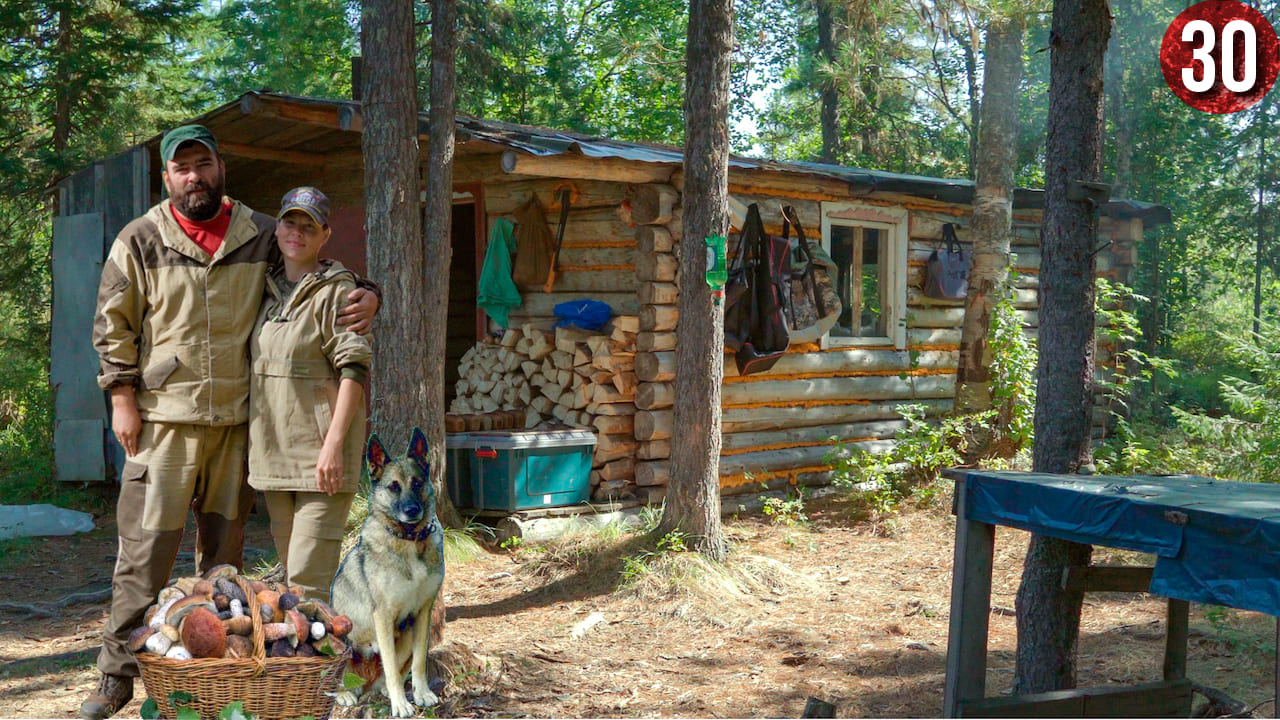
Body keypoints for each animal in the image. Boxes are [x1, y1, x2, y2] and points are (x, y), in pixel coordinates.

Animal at [330, 425, 445, 712]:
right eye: (394, 487)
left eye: (417, 483)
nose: (412, 510)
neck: (409, 540)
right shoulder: (382, 615)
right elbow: (391, 667)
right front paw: (400, 704)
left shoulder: (423, 612)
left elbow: (418, 661)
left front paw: (421, 693)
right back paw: (344, 693)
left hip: (404, 636)